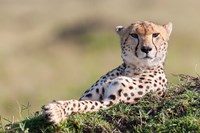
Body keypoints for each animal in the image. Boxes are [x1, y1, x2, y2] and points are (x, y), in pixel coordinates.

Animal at [42, 20, 172, 123]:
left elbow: (83, 105)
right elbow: (77, 101)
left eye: (155, 34)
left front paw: (56, 111)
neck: (133, 68)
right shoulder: (87, 97)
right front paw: (57, 107)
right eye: (134, 35)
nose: (146, 49)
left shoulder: (111, 102)